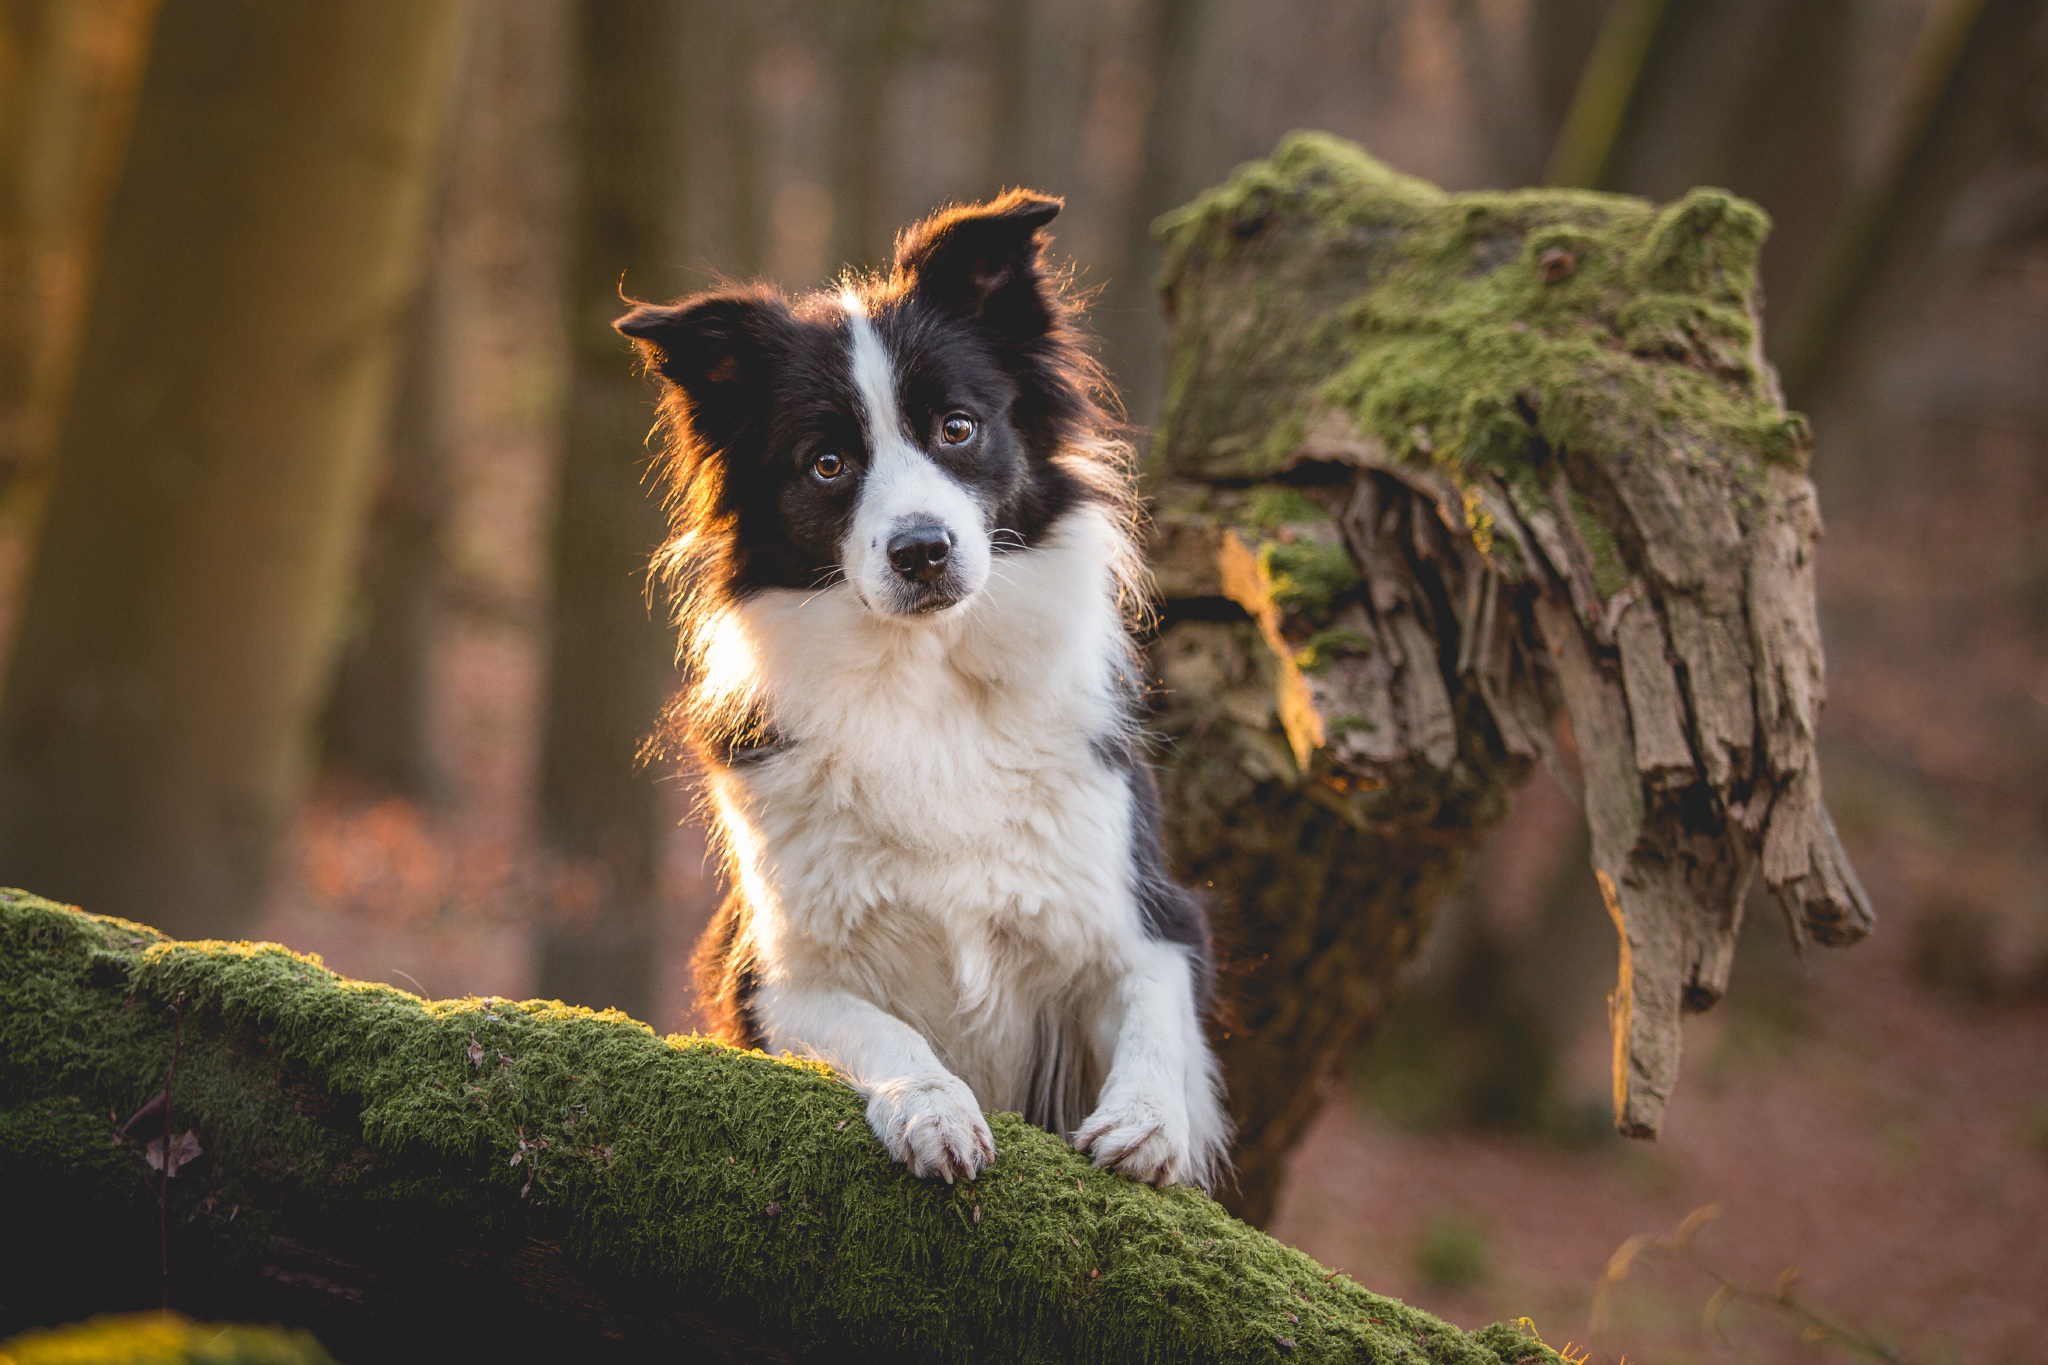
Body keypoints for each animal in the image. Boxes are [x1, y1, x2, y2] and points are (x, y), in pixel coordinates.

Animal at [614, 192, 1228, 1195]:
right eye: (827, 463)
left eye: (957, 428)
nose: (922, 551)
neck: (926, 678)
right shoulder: (775, 975)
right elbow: (887, 1031)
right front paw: (933, 1109)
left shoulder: (1147, 911)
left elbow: (1153, 1006)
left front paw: (1147, 1124)